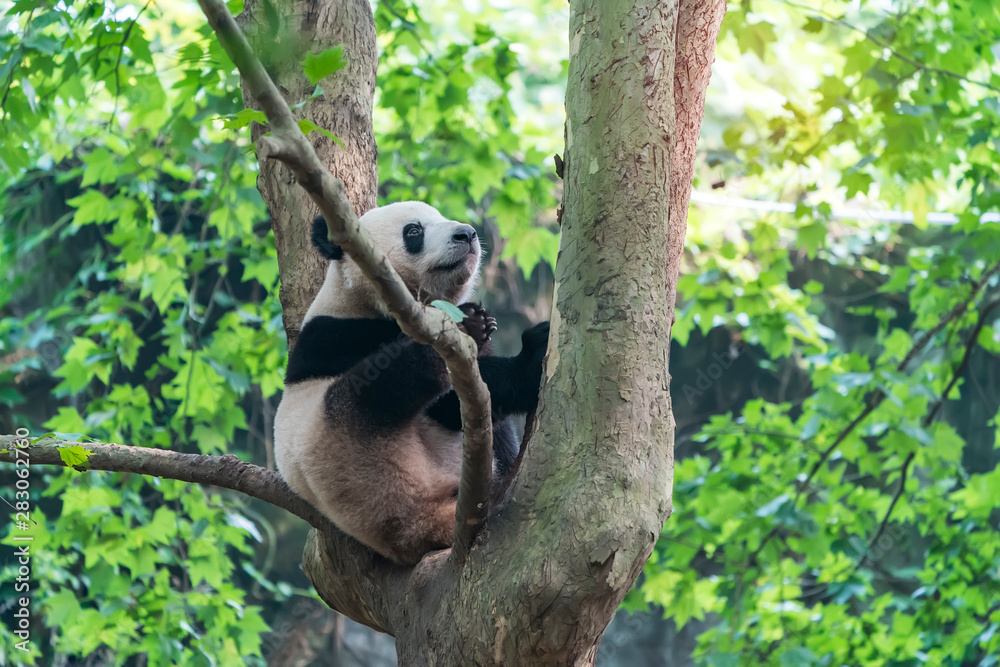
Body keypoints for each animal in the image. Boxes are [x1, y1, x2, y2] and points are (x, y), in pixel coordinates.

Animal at [274, 201, 549, 565]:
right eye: (414, 231)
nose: (467, 234)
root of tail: (416, 532)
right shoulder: (345, 337)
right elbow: (452, 404)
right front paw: (526, 356)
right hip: (348, 445)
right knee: (385, 388)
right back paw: (463, 329)